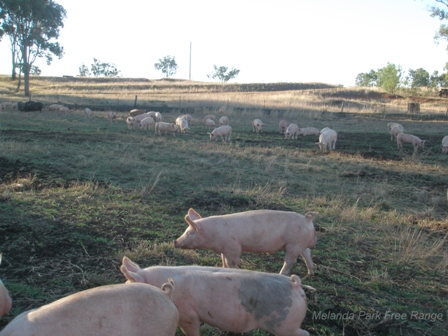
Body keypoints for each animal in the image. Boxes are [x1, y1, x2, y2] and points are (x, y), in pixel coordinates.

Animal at [173, 207, 316, 276]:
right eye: (186, 231)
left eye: (189, 233)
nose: (175, 241)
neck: (213, 234)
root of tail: (307, 219)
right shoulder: (224, 249)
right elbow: (224, 260)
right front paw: (223, 268)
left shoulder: (233, 247)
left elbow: (231, 262)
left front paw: (237, 270)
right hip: (300, 244)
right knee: (307, 253)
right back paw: (311, 273)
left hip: (294, 244)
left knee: (290, 261)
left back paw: (281, 274)